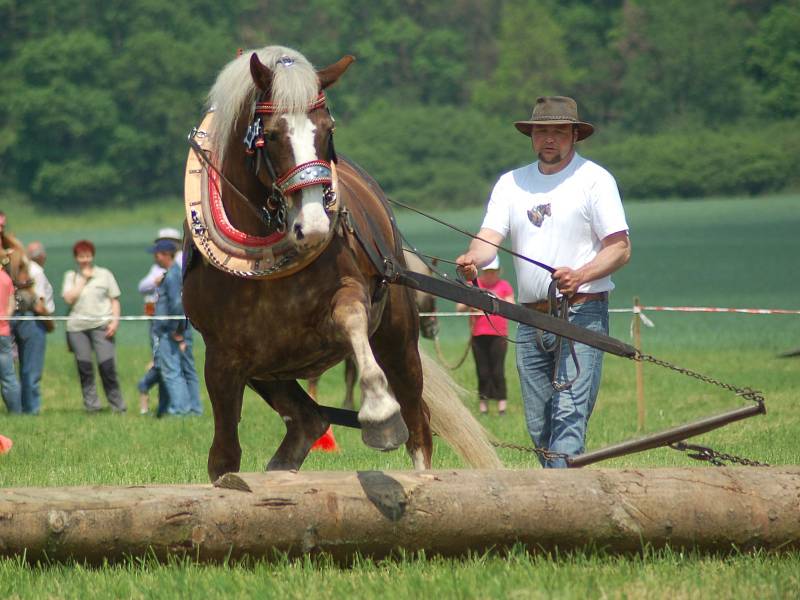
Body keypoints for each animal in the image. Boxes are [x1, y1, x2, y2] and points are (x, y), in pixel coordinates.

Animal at [184, 44, 496, 480]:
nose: (314, 225)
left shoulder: (347, 300)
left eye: (327, 130)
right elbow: (224, 457)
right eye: (272, 135)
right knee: (309, 420)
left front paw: (379, 413)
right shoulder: (223, 358)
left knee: (417, 422)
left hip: (398, 337)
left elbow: (351, 317)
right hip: (269, 372)